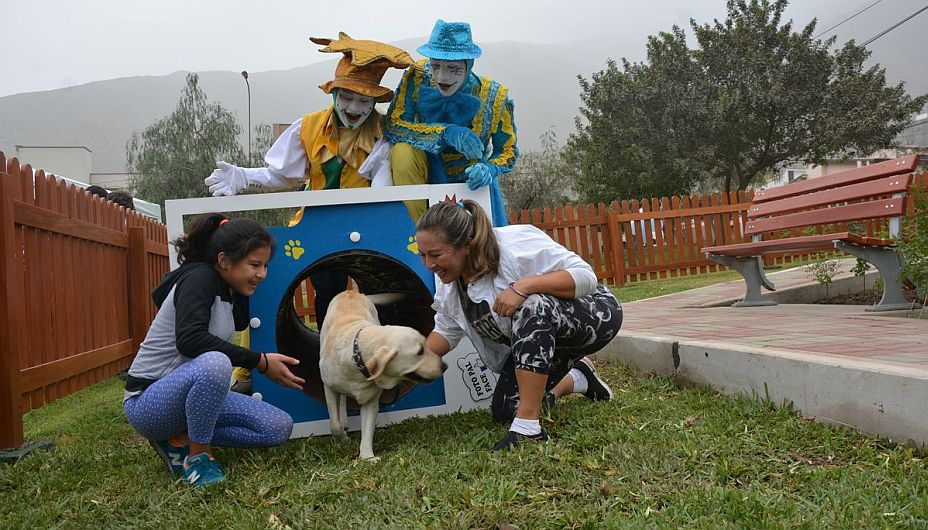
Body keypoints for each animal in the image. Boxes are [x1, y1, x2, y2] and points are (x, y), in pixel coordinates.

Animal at [320, 288, 448, 458]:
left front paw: (367, 456)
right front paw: (343, 440)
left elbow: (367, 431)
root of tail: (351, 291)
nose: (444, 366)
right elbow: (334, 423)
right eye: (420, 351)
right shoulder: (328, 388)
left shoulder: (370, 401)